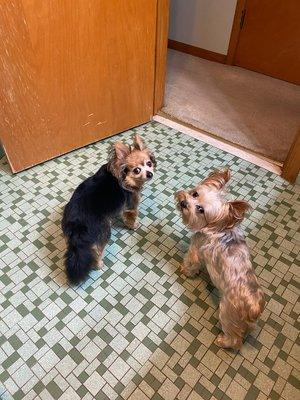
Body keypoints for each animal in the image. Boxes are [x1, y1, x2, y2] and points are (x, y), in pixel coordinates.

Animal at [62, 134, 156, 284]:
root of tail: (77, 224)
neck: (123, 176)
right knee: (96, 249)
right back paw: (98, 264)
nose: (149, 174)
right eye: (137, 170)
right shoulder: (131, 204)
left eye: (149, 164)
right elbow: (131, 216)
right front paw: (134, 225)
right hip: (103, 230)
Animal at [176, 170, 264, 350]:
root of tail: (254, 307)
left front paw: (185, 270)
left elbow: (191, 262)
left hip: (227, 312)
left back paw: (222, 341)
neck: (218, 227)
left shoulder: (196, 246)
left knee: (235, 339)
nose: (183, 202)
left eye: (200, 209)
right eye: (195, 194)